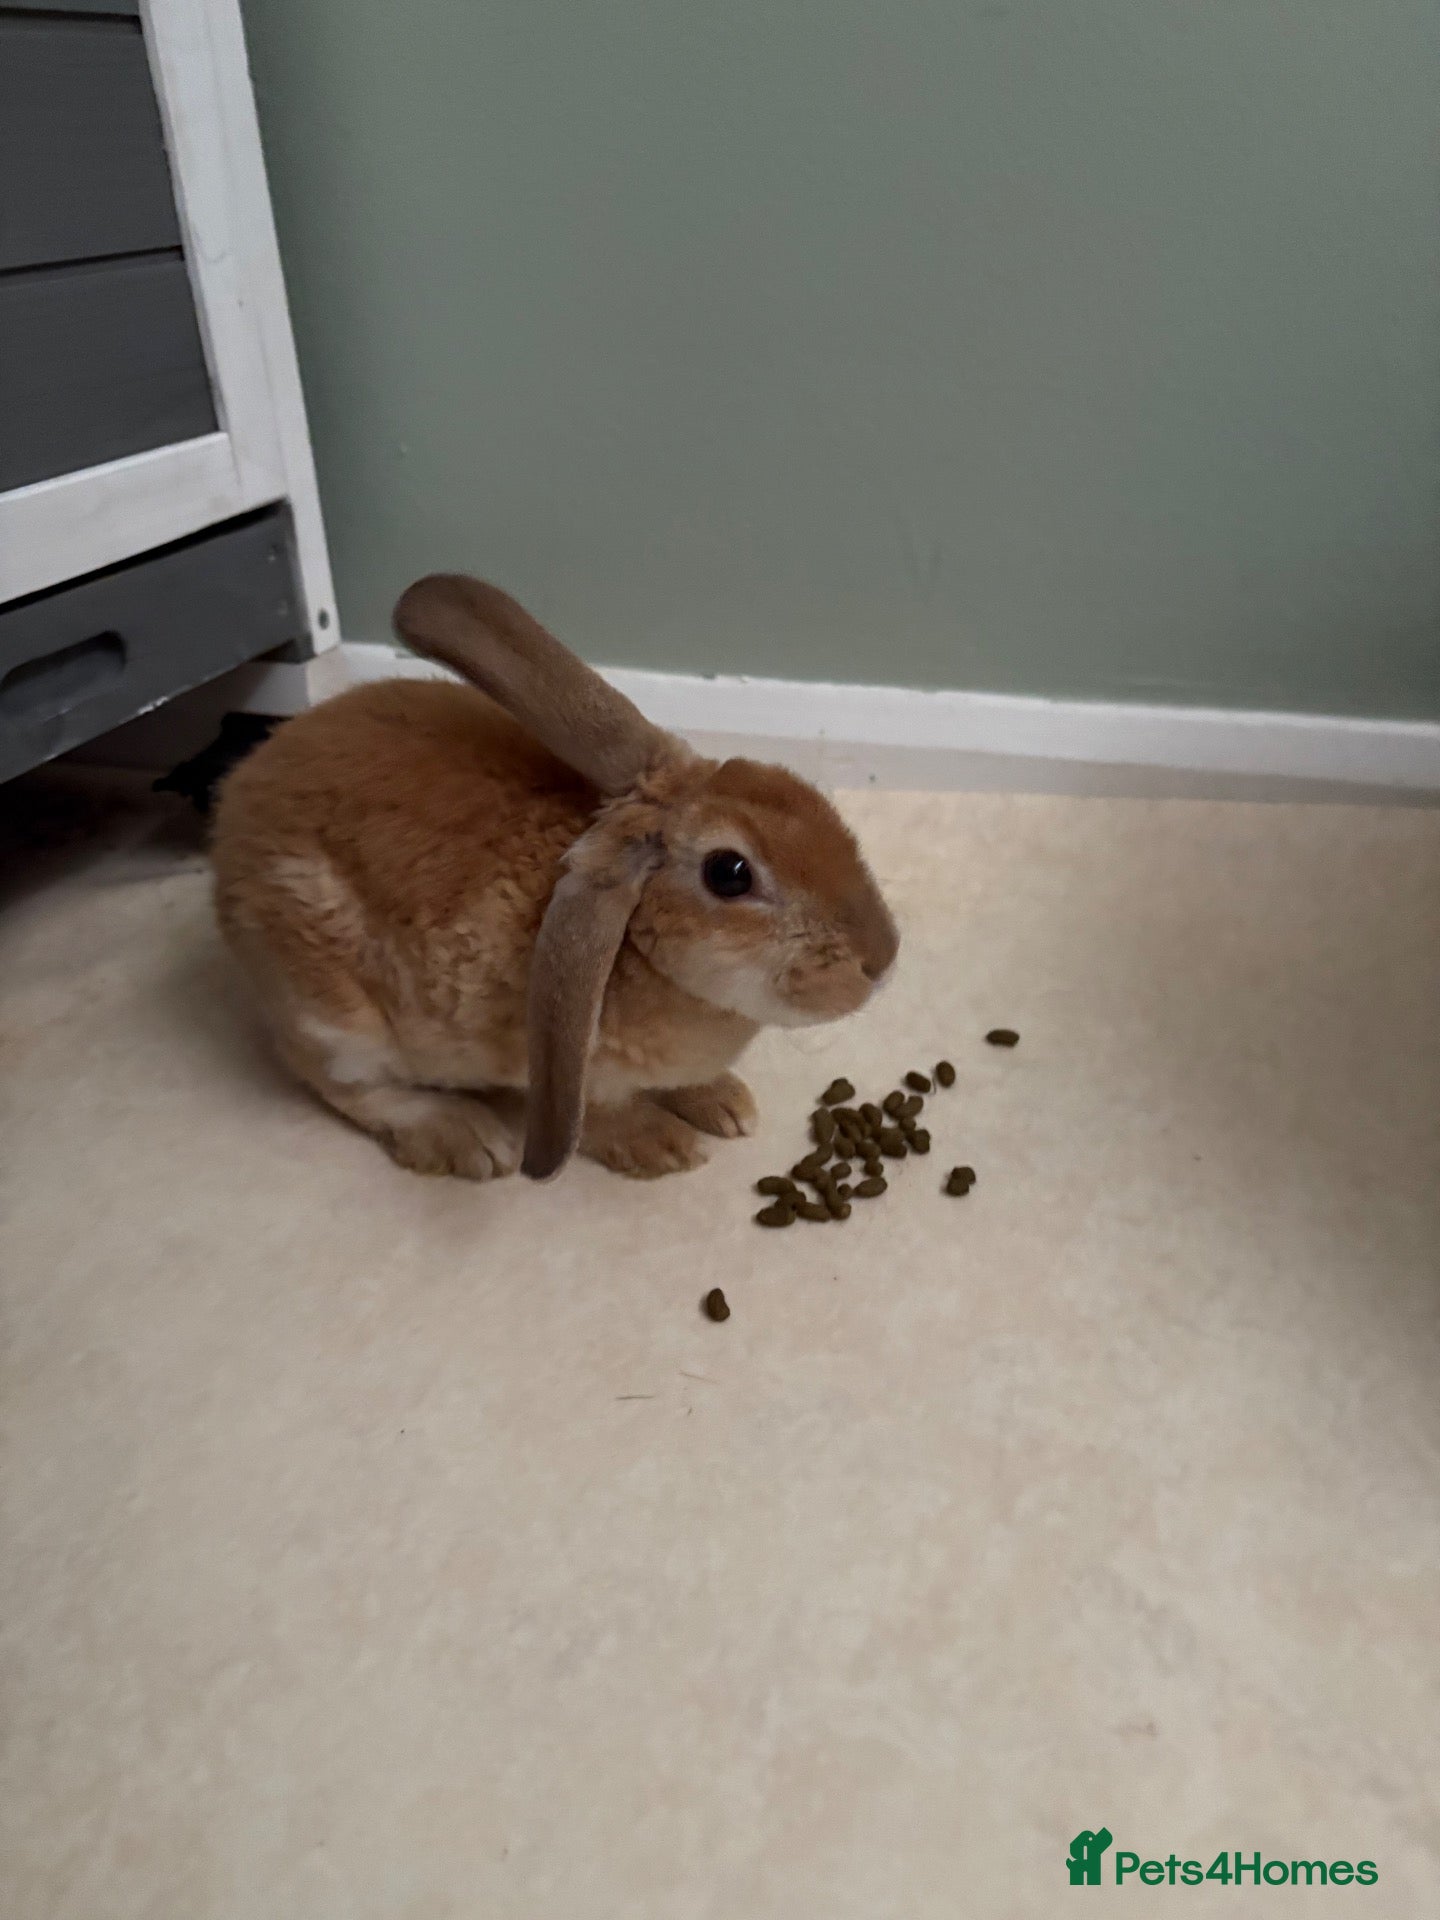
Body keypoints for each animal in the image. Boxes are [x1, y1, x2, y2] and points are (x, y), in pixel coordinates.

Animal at [211, 575, 898, 1182]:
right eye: (729, 873)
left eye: (799, 789)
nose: (882, 959)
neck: (636, 951)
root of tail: (233, 806)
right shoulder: (563, 1070)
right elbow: (600, 1113)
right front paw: (663, 1147)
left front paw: (727, 1104)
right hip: (334, 1016)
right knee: (345, 1086)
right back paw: (467, 1138)